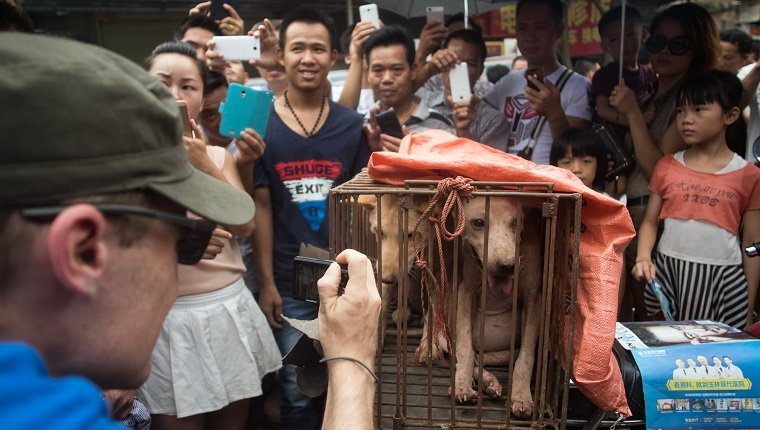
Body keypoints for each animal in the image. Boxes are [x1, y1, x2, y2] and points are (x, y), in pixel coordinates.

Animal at [452, 197, 540, 420]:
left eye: (516, 222)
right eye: (478, 222)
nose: (507, 265)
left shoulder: (533, 298)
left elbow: (526, 357)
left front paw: (522, 397)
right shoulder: (465, 290)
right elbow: (464, 347)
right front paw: (462, 385)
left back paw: (488, 381)